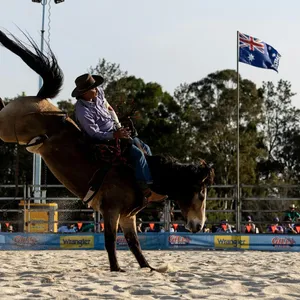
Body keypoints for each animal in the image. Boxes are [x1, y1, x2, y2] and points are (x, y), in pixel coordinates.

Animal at [0, 30, 213, 272]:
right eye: (201, 193)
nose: (199, 226)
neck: (139, 173)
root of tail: (40, 99)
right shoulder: (111, 210)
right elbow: (111, 240)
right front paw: (116, 268)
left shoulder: (128, 216)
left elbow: (134, 244)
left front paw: (149, 268)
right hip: (7, 128)